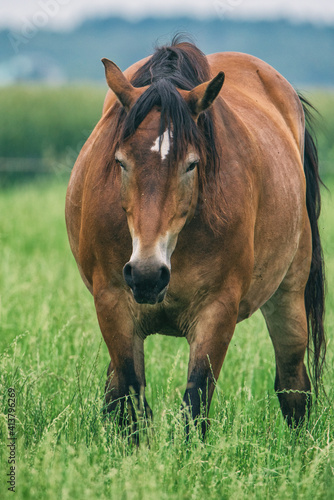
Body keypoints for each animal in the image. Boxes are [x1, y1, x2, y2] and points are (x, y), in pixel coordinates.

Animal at [64, 37, 324, 436]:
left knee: (293, 387)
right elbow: (131, 401)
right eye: (121, 161)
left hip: (289, 297)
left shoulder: (217, 310)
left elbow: (195, 406)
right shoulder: (113, 303)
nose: (147, 275)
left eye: (191, 164)